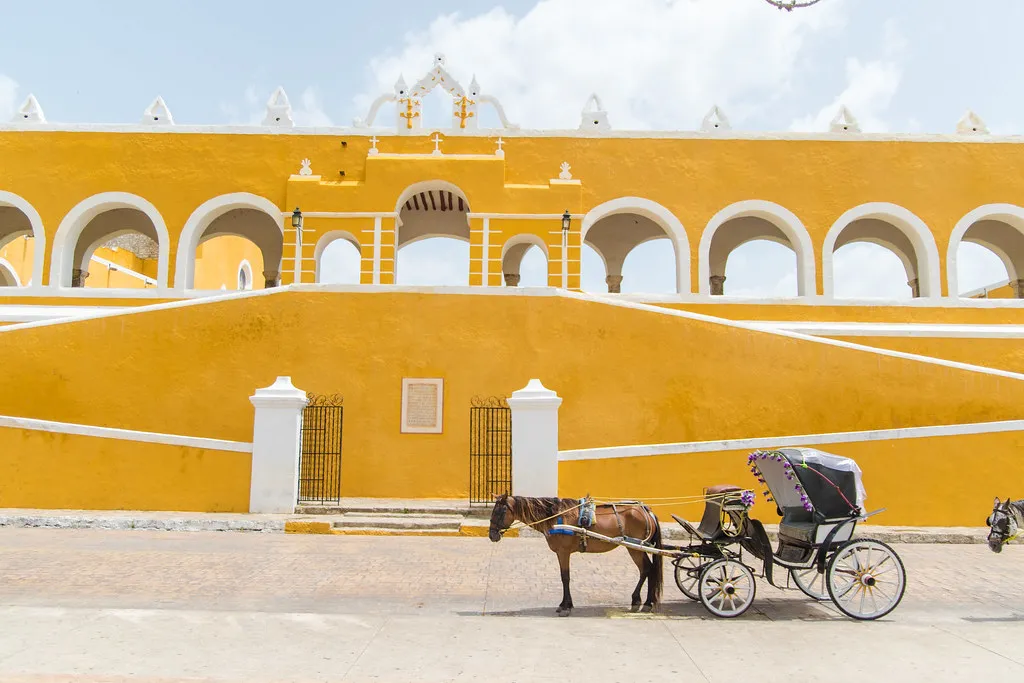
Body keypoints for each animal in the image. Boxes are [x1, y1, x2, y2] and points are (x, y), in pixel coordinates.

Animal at [487, 493, 663, 618]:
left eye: (500, 511)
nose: (492, 535)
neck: (555, 517)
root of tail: (648, 512)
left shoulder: (564, 552)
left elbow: (565, 577)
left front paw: (566, 607)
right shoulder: (561, 552)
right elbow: (563, 577)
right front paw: (564, 604)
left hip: (635, 548)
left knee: (647, 569)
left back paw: (644, 603)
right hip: (637, 548)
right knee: (648, 569)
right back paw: (642, 602)